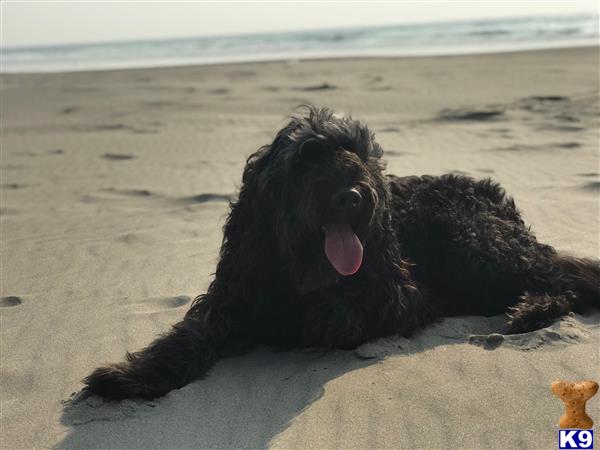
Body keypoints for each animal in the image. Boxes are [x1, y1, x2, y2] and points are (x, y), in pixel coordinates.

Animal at [85, 107, 600, 400]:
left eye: (357, 153)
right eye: (306, 158)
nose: (351, 195)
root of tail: (494, 194)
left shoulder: (399, 294)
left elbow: (335, 312)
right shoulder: (233, 295)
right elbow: (190, 334)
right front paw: (132, 373)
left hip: (478, 247)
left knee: (568, 274)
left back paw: (532, 309)